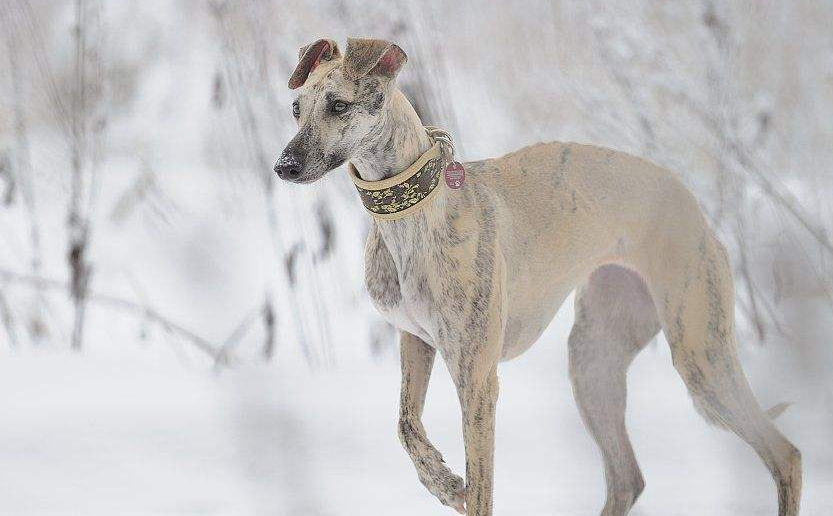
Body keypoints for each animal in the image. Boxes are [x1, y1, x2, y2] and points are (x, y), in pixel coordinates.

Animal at [276, 37, 804, 516]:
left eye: (339, 105)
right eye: (296, 109)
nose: (284, 167)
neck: (416, 211)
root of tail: (690, 200)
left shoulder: (477, 379)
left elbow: (481, 491)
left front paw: (458, 485)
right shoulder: (417, 340)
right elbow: (406, 424)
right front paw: (443, 482)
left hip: (700, 354)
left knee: (786, 455)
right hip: (594, 359)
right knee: (627, 479)